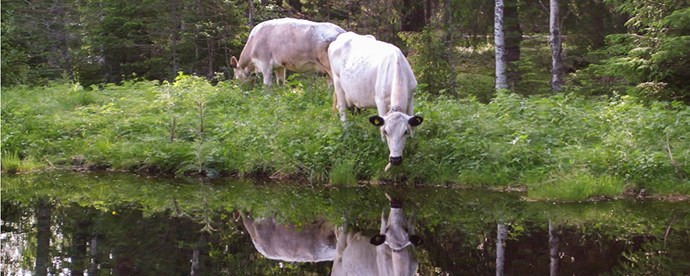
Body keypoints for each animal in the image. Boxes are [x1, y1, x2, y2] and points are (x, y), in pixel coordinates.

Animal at [326, 31, 422, 167]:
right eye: (386, 132)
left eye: (405, 131)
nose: (395, 159)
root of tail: (343, 35)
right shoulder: (380, 101)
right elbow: (381, 124)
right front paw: (383, 143)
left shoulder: (411, 96)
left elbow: (413, 124)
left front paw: (413, 142)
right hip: (337, 81)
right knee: (342, 108)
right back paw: (347, 130)